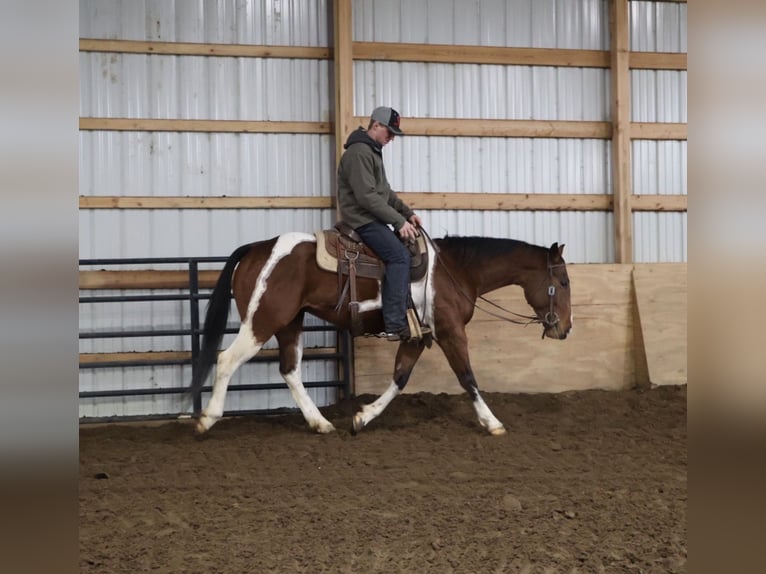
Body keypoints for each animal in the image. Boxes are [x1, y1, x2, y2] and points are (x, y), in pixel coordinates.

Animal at [188, 230, 572, 436]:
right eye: (565, 282)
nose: (565, 329)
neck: (455, 271)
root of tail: (256, 248)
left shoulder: (417, 336)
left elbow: (400, 378)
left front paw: (363, 416)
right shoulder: (450, 332)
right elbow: (467, 377)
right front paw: (492, 422)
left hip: (290, 323)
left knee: (290, 370)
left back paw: (320, 422)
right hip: (263, 321)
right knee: (227, 359)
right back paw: (207, 420)